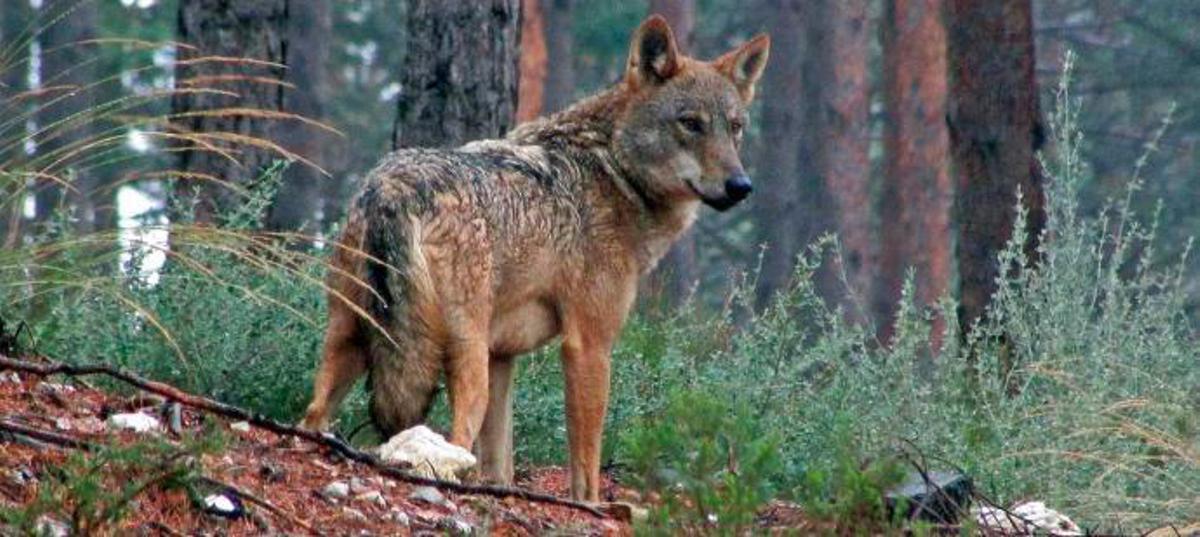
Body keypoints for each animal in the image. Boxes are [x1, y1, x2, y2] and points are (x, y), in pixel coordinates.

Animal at [300, 15, 769, 502]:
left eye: (736, 127)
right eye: (691, 124)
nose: (741, 186)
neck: (613, 171)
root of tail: (391, 190)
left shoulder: (503, 356)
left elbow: (499, 466)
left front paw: (498, 493)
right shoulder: (589, 346)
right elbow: (586, 470)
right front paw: (590, 508)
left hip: (353, 343)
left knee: (313, 415)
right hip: (464, 367)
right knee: (451, 441)